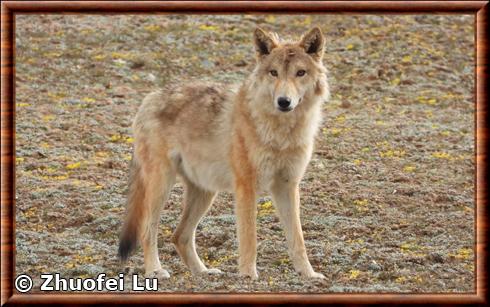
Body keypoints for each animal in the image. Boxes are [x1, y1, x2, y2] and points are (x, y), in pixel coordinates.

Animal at [119, 27, 330, 282]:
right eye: (274, 73)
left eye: (300, 73)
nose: (283, 101)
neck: (281, 133)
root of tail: (149, 98)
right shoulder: (246, 187)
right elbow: (249, 238)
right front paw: (248, 276)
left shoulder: (287, 186)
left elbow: (297, 239)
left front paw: (308, 274)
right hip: (162, 186)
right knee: (148, 230)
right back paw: (155, 270)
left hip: (205, 193)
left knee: (180, 236)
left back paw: (203, 272)